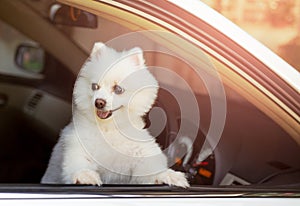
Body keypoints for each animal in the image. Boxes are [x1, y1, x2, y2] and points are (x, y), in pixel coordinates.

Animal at [41, 42, 189, 187]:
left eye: (118, 89)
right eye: (95, 86)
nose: (99, 102)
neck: (109, 129)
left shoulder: (140, 154)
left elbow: (151, 169)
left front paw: (168, 175)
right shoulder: (78, 145)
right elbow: (78, 162)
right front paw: (85, 175)